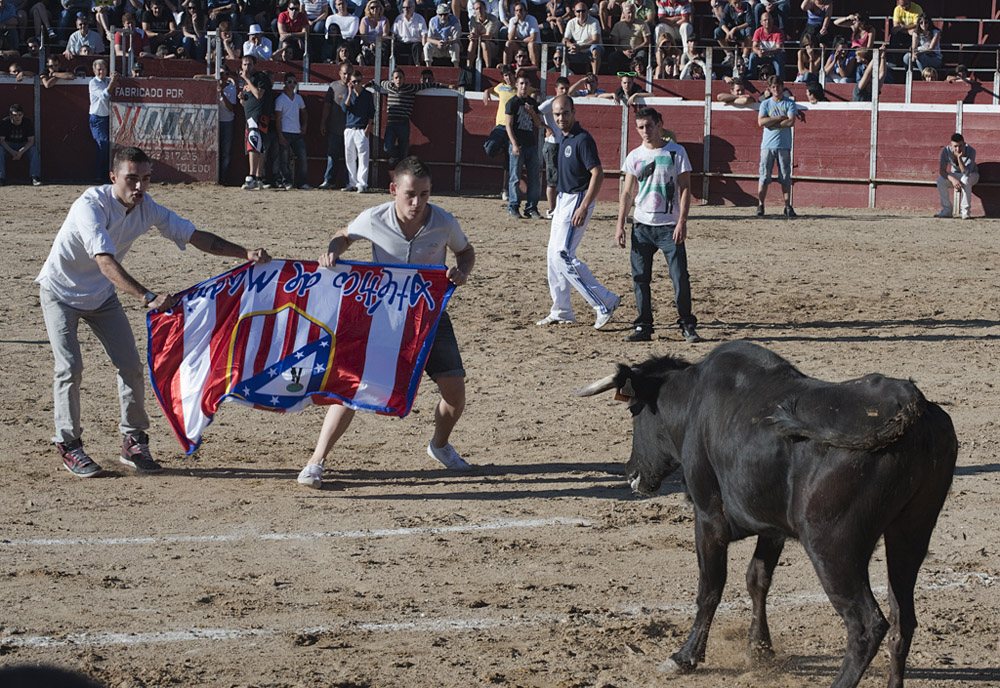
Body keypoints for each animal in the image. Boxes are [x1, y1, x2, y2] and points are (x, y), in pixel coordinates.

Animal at [580, 340, 960, 688]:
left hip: (833, 547)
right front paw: (759, 649)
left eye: (635, 410)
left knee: (867, 624)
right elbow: (757, 578)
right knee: (902, 619)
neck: (692, 405)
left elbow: (710, 587)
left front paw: (685, 657)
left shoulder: (708, 517)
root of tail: (910, 403)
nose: (631, 473)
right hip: (910, 534)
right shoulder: (772, 527)